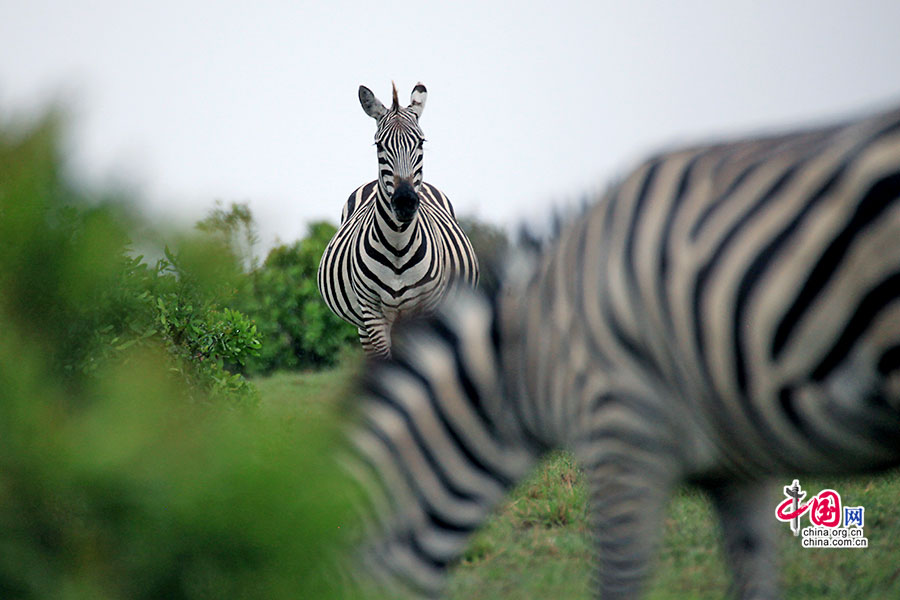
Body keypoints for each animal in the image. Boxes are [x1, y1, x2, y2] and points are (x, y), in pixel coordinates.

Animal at [320, 82, 482, 358]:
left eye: (421, 142)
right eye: (379, 146)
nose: (405, 202)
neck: (397, 244)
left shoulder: (427, 307)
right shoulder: (372, 311)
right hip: (365, 323)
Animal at [342, 102, 900, 596]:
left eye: (421, 145)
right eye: (378, 147)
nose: (405, 204)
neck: (531, 354)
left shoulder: (624, 437)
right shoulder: (727, 451)